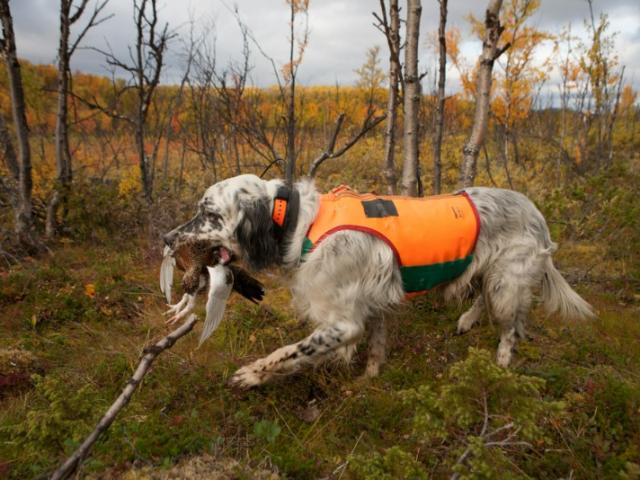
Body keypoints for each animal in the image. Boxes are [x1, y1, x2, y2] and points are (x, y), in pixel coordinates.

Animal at [162, 174, 592, 388]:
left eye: (209, 214)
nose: (167, 239)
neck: (302, 224)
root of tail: (537, 213)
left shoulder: (344, 321)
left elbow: (289, 351)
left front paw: (251, 375)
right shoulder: (374, 304)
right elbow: (376, 344)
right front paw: (368, 376)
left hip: (508, 283)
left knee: (510, 328)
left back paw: (501, 364)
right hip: (494, 276)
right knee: (488, 302)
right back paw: (467, 321)